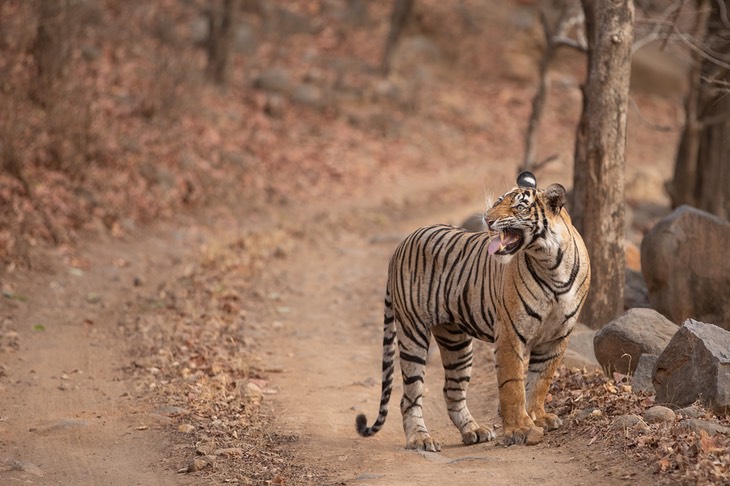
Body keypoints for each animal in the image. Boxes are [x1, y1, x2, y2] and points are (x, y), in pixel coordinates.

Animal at [356, 172, 588, 452]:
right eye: (498, 202)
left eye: (519, 207)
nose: (487, 219)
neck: (551, 263)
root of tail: (401, 244)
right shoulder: (510, 333)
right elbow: (513, 385)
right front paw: (520, 429)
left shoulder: (557, 337)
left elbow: (540, 380)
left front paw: (538, 417)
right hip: (412, 333)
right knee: (409, 396)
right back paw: (420, 439)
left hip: (456, 342)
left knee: (451, 391)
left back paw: (473, 431)